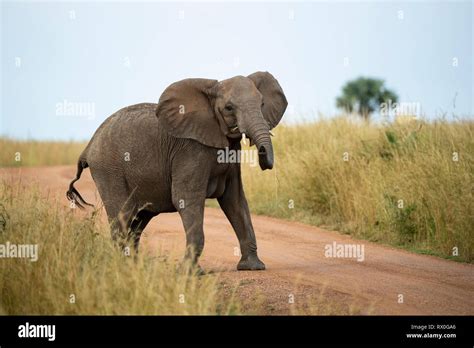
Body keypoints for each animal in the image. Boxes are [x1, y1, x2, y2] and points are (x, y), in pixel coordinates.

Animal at [65, 71, 288, 272]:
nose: (262, 154)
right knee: (123, 215)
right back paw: (122, 268)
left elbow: (235, 200)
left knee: (138, 220)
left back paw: (134, 268)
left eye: (262, 104)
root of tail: (88, 147)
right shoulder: (190, 150)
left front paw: (253, 267)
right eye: (229, 108)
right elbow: (186, 197)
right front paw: (191, 273)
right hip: (108, 170)